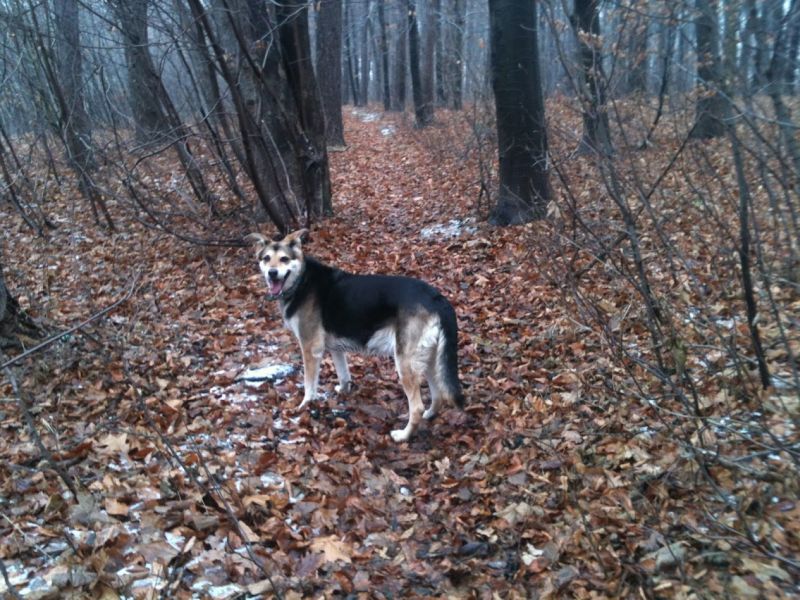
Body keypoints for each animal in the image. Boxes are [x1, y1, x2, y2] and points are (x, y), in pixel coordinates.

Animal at [246, 229, 464, 442]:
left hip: (405, 362)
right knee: (438, 394)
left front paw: (305, 407)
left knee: (416, 407)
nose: (272, 273)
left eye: (284, 259)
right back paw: (430, 414)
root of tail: (437, 298)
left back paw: (403, 435)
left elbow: (309, 385)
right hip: (428, 359)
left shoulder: (310, 348)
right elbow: (344, 374)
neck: (301, 281)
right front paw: (343, 392)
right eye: (266, 258)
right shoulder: (334, 348)